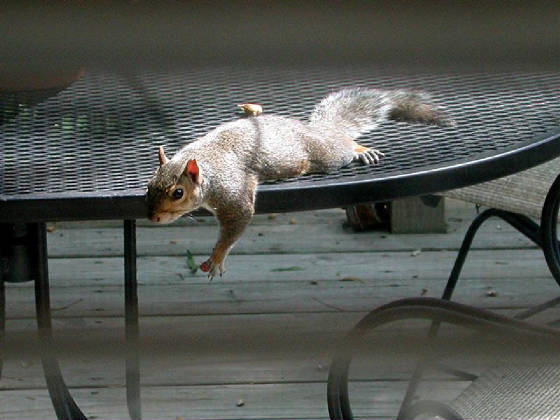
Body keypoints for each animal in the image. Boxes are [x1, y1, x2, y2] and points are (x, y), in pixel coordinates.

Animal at [147, 88, 448, 276]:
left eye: (178, 193)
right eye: (149, 186)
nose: (153, 218)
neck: (205, 165)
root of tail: (316, 130)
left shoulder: (231, 189)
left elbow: (239, 218)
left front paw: (218, 257)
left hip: (328, 155)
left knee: (344, 143)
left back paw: (360, 149)